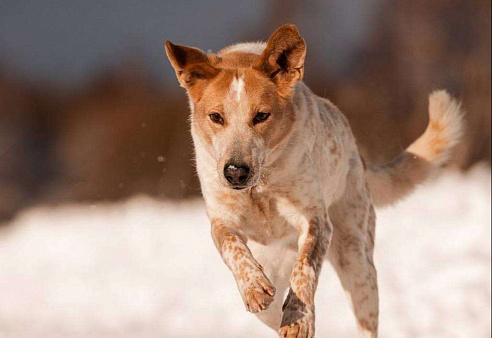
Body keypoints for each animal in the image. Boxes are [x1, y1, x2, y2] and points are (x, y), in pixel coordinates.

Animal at [164, 24, 466, 338]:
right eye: (216, 117)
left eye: (261, 115)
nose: (235, 171)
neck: (261, 187)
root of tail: (357, 155)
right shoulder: (222, 220)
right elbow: (233, 248)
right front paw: (254, 288)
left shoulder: (314, 219)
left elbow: (305, 267)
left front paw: (299, 318)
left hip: (357, 263)